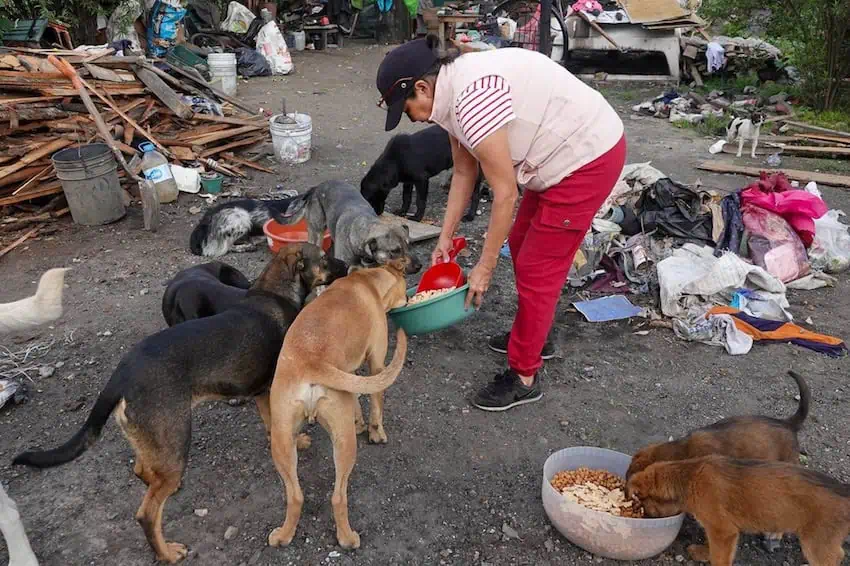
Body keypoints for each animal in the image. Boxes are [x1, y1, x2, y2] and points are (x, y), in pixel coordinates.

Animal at [13, 245, 346, 566]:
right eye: (324, 257)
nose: (346, 264)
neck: (275, 290)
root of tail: (121, 374)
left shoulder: (260, 393)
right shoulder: (271, 389)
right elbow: (278, 423)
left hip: (156, 441)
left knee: (142, 470)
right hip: (175, 438)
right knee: (146, 513)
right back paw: (167, 553)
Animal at [266, 260, 410, 552]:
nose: (410, 298)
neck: (366, 282)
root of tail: (311, 362)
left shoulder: (351, 374)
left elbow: (356, 402)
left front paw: (360, 423)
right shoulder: (376, 364)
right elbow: (376, 403)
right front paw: (376, 432)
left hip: (282, 440)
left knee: (295, 496)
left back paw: (284, 535)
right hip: (343, 444)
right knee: (338, 497)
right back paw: (347, 538)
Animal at [624, 458, 848, 566]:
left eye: (643, 506)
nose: (646, 518)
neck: (690, 477)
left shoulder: (723, 531)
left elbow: (719, 557)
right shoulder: (719, 532)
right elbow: (712, 547)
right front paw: (703, 553)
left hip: (817, 543)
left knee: (837, 556)